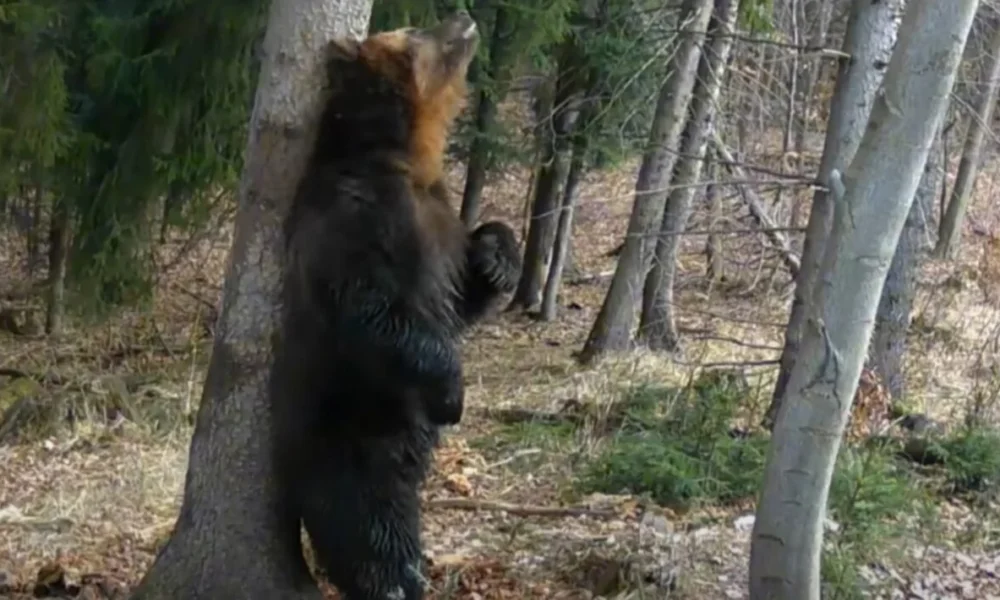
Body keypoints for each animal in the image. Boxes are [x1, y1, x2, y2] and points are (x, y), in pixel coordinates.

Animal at [272, 10, 524, 600]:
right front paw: (453, 393)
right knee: (368, 526)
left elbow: (464, 293)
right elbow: (375, 312)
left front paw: (498, 257)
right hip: (349, 436)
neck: (404, 156)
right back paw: (393, 582)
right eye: (413, 31)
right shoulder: (357, 217)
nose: (463, 15)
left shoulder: (439, 217)